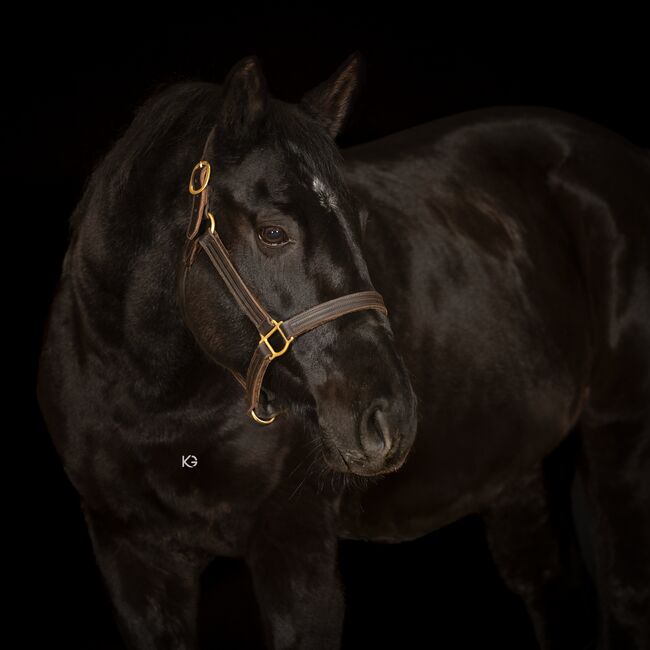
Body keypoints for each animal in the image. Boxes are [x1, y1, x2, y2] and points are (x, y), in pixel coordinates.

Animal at [37, 53, 650, 649]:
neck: (153, 405)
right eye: (273, 233)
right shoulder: (132, 562)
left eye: (360, 222)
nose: (389, 417)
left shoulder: (297, 548)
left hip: (620, 437)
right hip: (511, 466)